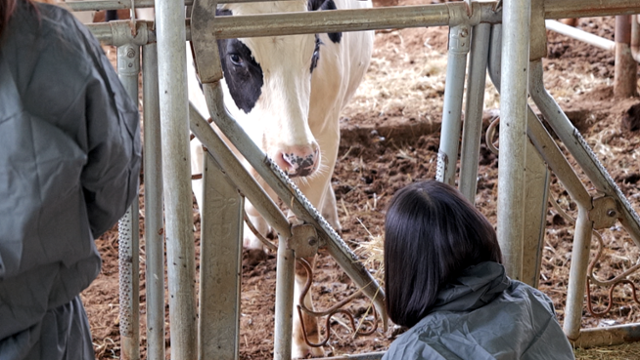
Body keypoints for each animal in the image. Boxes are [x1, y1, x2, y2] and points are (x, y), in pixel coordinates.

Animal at [188, 0, 372, 358]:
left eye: (314, 50)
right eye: (235, 56)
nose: (297, 156)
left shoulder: (324, 137)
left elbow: (303, 249)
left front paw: (304, 338)